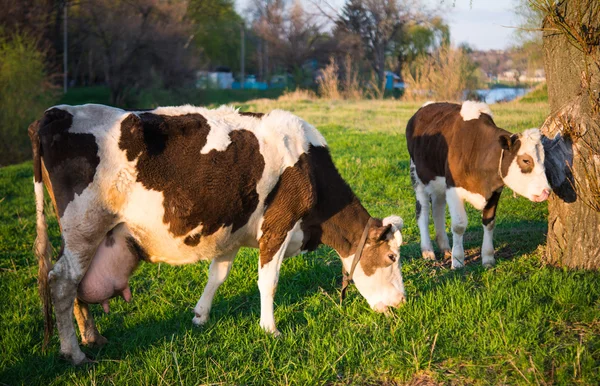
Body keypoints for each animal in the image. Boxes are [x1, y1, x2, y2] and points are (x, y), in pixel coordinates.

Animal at [27, 103, 404, 364]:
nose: (400, 302)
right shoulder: (278, 226)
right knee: (62, 281)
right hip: (84, 225)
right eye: (391, 257)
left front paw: (200, 315)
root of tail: (54, 113)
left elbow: (217, 275)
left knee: (75, 285)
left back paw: (92, 337)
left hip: (82, 235)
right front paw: (270, 329)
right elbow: (268, 281)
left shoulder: (230, 231)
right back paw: (74, 353)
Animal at [406, 101, 552, 270]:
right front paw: (457, 261)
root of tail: (425, 107)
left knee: (438, 208)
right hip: (418, 177)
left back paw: (445, 248)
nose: (546, 191)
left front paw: (488, 258)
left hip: (438, 182)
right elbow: (459, 225)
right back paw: (428, 251)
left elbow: (489, 222)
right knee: (422, 212)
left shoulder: (495, 190)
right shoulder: (453, 188)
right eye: (526, 160)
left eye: (544, 158)